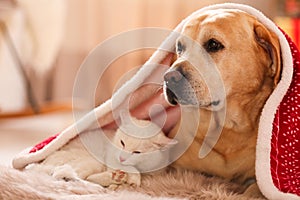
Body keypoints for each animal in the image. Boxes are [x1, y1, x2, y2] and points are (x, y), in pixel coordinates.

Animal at [25, 111, 177, 188]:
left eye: (137, 152)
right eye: (122, 143)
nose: (121, 158)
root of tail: (42, 164)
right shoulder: (111, 157)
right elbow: (131, 169)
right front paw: (133, 178)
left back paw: (115, 179)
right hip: (92, 161)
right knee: (64, 174)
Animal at [163, 8, 280, 197]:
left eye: (213, 44)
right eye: (180, 47)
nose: (168, 77)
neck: (228, 129)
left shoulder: (261, 179)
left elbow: (255, 189)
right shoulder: (176, 167)